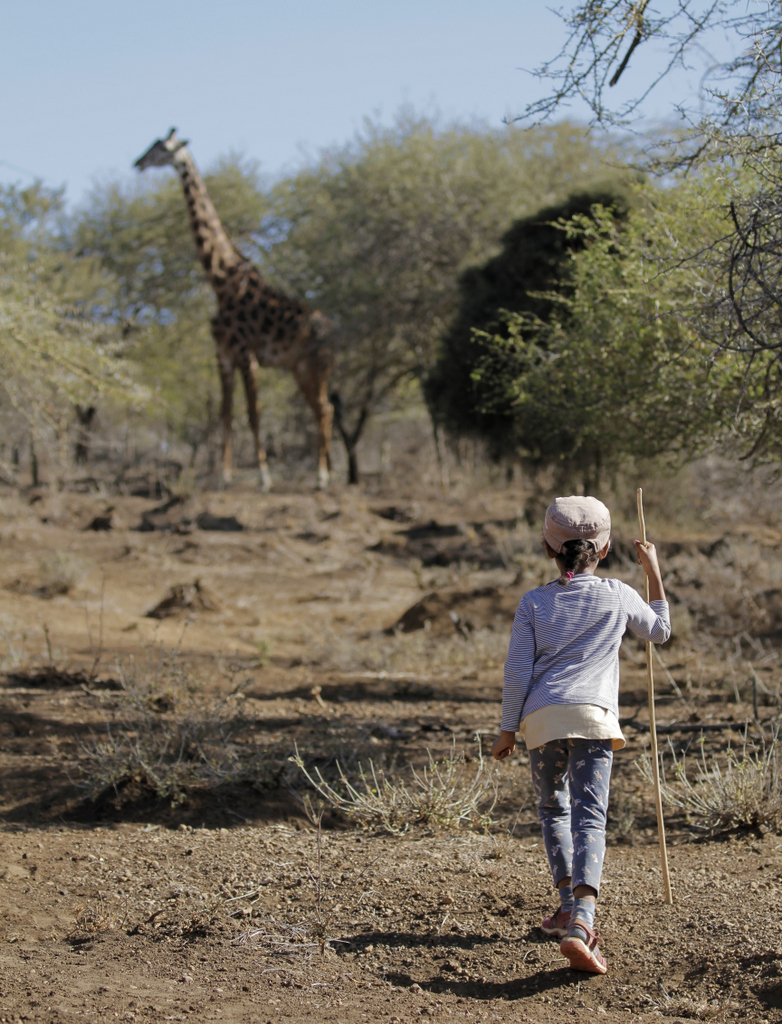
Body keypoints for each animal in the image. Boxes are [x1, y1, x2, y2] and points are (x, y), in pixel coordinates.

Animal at [134, 130, 333, 489]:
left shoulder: (245, 354)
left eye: (161, 149)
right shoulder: (222, 355)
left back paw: (322, 476)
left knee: (324, 410)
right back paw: (328, 471)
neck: (221, 279)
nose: (137, 162)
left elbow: (253, 414)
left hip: (316, 366)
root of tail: (334, 332)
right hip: (299, 369)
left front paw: (264, 477)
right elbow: (224, 414)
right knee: (323, 410)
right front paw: (223, 476)